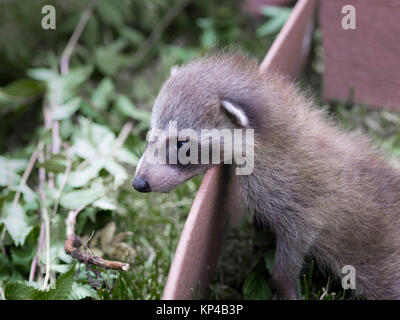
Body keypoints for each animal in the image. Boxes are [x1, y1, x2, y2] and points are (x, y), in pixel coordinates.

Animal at [134, 50, 400, 300]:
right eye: (150, 132)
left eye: (181, 143)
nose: (139, 182)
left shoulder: (302, 213)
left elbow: (287, 261)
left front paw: (286, 291)